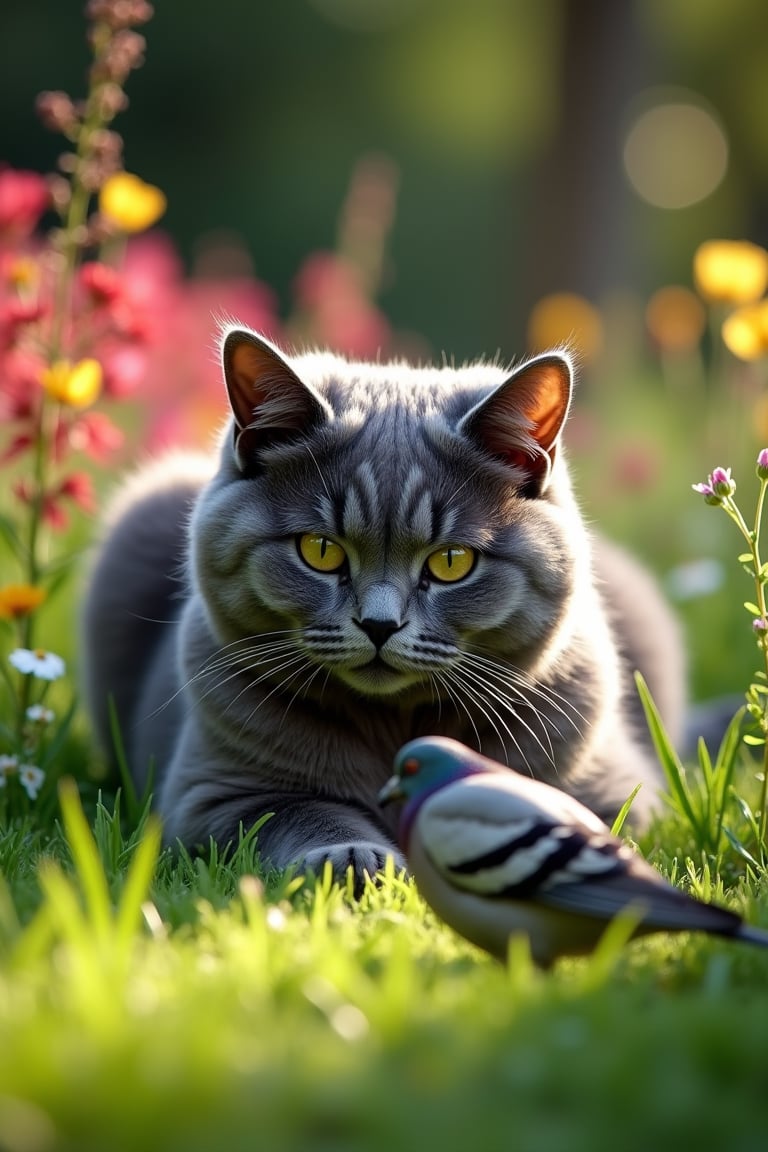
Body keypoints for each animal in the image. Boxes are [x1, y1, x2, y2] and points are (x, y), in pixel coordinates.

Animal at [84, 329, 686, 884]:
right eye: (320, 550)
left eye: (451, 562)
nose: (378, 624)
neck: (393, 720)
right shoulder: (215, 794)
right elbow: (303, 812)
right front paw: (356, 858)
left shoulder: (617, 793)